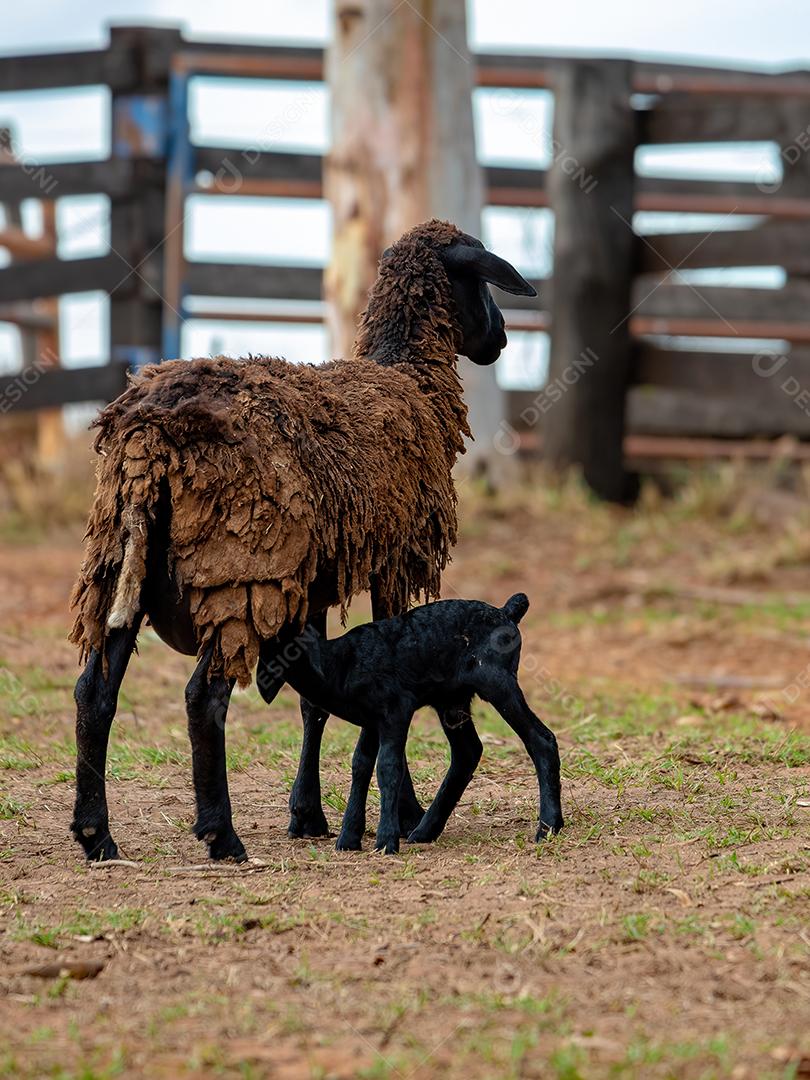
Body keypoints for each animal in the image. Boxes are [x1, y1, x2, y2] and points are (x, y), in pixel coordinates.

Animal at [69, 217, 540, 859]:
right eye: (481, 281)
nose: (502, 340)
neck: (408, 379)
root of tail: (149, 434)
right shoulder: (394, 560)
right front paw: (402, 811)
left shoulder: (311, 582)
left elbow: (313, 701)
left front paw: (309, 814)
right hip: (237, 573)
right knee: (203, 698)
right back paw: (221, 835)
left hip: (120, 563)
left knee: (94, 693)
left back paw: (97, 836)